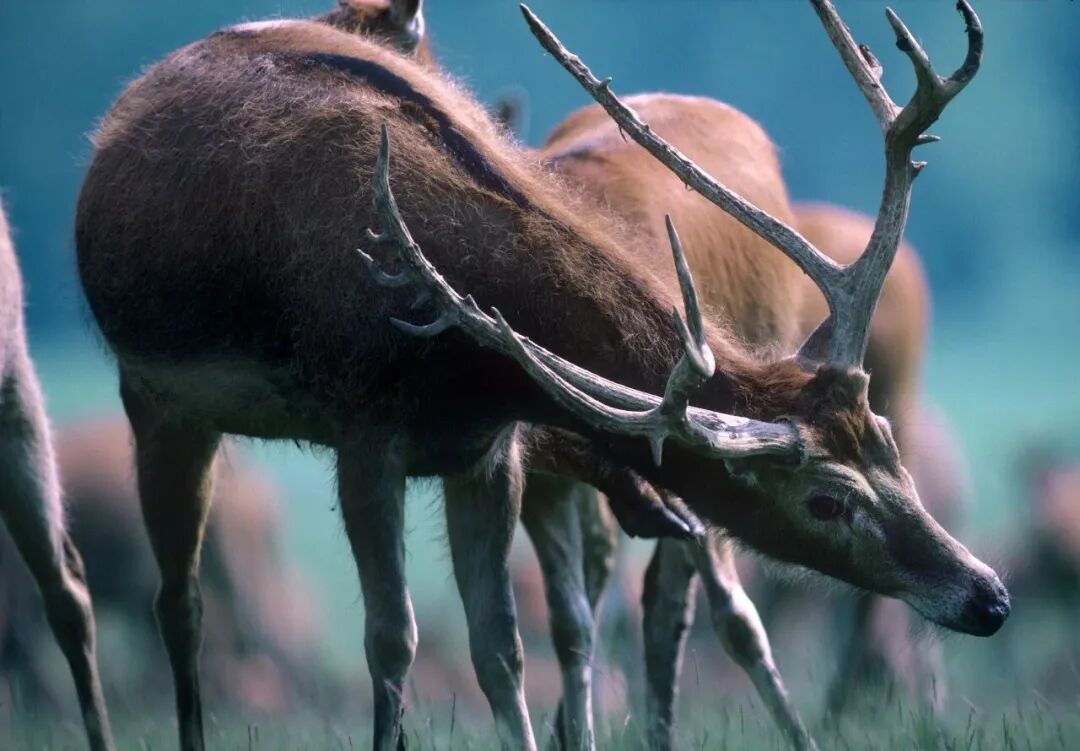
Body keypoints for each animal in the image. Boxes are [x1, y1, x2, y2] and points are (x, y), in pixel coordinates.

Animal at [73, 2, 1009, 750]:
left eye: (888, 442)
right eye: (823, 500)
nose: (986, 593)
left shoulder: (488, 452)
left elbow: (502, 648)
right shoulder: (362, 430)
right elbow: (392, 639)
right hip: (154, 397)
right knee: (180, 606)